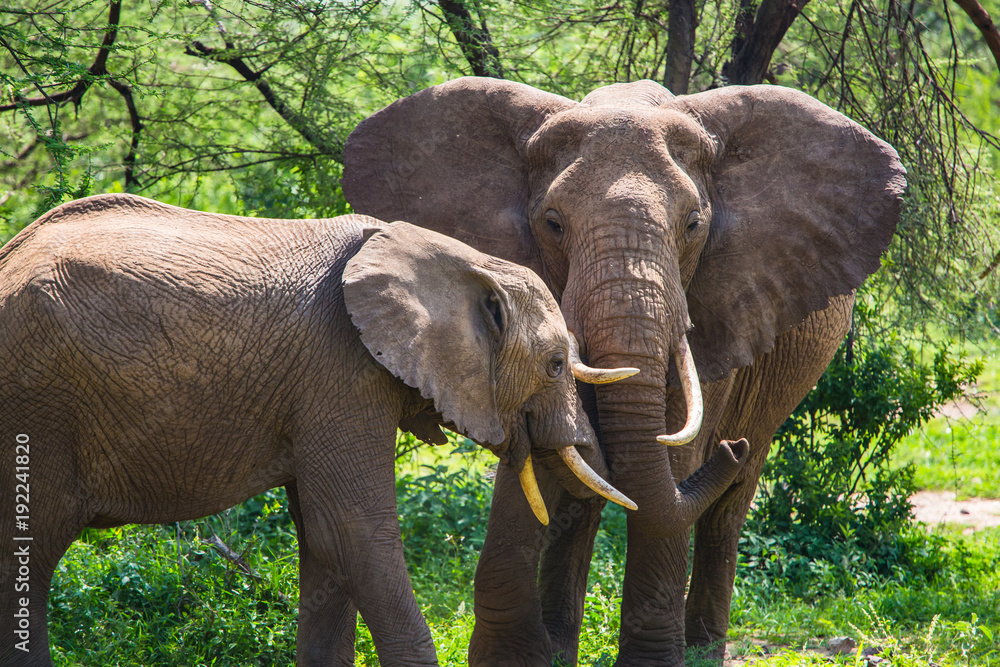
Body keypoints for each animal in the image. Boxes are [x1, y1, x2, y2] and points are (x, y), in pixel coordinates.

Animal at [0, 192, 740, 666]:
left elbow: (323, 543)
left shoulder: (318, 388)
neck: (453, 256)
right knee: (31, 544)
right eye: (557, 363)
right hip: (37, 402)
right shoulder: (339, 370)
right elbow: (352, 530)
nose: (734, 448)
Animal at [342, 77, 906, 664]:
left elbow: (674, 455)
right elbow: (540, 451)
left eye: (693, 225)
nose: (730, 449)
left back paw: (705, 647)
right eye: (553, 223)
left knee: (729, 505)